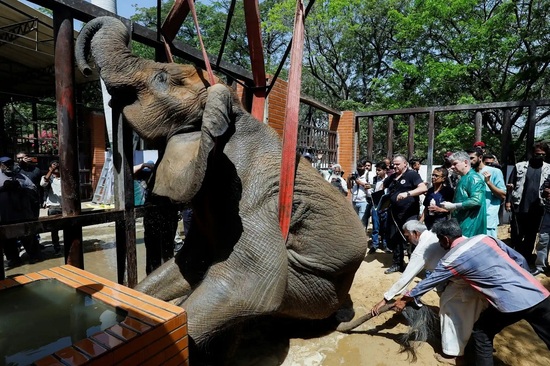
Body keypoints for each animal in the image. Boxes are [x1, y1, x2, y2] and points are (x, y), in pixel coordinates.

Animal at [75, 16, 368, 360]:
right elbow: (190, 262)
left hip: (314, 292)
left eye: (161, 78)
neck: (230, 109)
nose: (85, 69)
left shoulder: (252, 196)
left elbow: (246, 285)